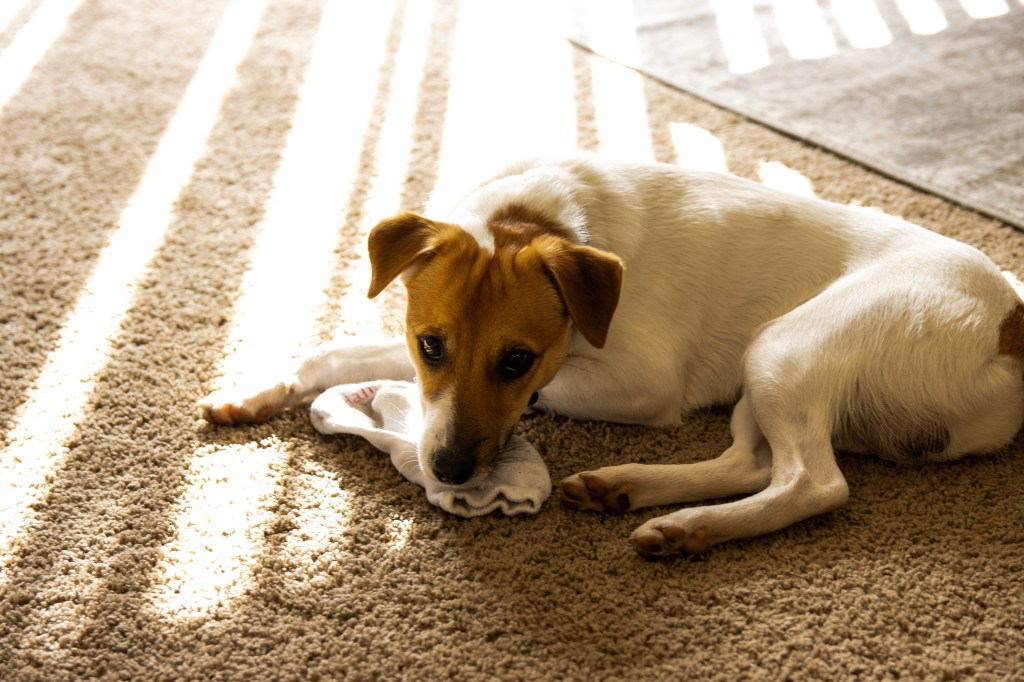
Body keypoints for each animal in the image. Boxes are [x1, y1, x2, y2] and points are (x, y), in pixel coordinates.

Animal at [199, 155, 1024, 557]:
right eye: (431, 345)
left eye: (517, 361)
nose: (451, 471)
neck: (545, 221)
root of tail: (1010, 323)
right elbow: (334, 349)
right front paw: (256, 392)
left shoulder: (640, 383)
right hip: (768, 376)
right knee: (751, 463)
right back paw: (628, 489)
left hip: (786, 347)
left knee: (813, 484)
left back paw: (691, 527)